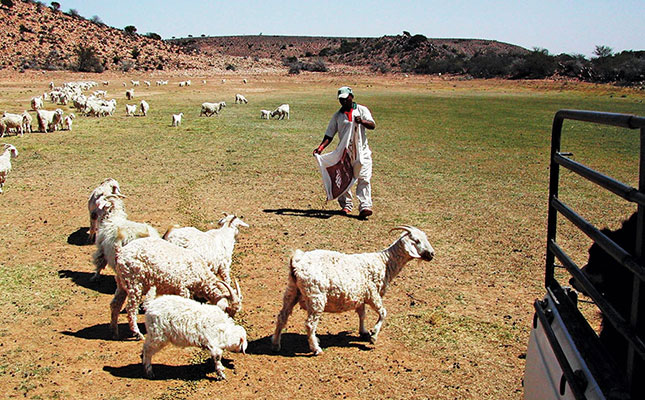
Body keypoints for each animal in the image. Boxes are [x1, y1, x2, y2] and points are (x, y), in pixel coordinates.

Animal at [110, 234, 242, 340]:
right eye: (226, 312)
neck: (200, 271)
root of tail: (120, 252)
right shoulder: (183, 288)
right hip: (134, 283)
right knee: (131, 308)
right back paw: (137, 334)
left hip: (121, 282)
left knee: (115, 304)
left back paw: (114, 331)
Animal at [270, 225, 436, 356]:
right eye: (416, 241)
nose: (432, 254)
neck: (385, 263)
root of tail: (296, 261)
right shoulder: (372, 294)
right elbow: (383, 313)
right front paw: (373, 336)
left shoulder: (361, 296)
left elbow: (362, 314)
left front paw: (363, 332)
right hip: (316, 296)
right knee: (310, 324)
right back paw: (316, 348)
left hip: (292, 291)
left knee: (282, 316)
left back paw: (276, 344)